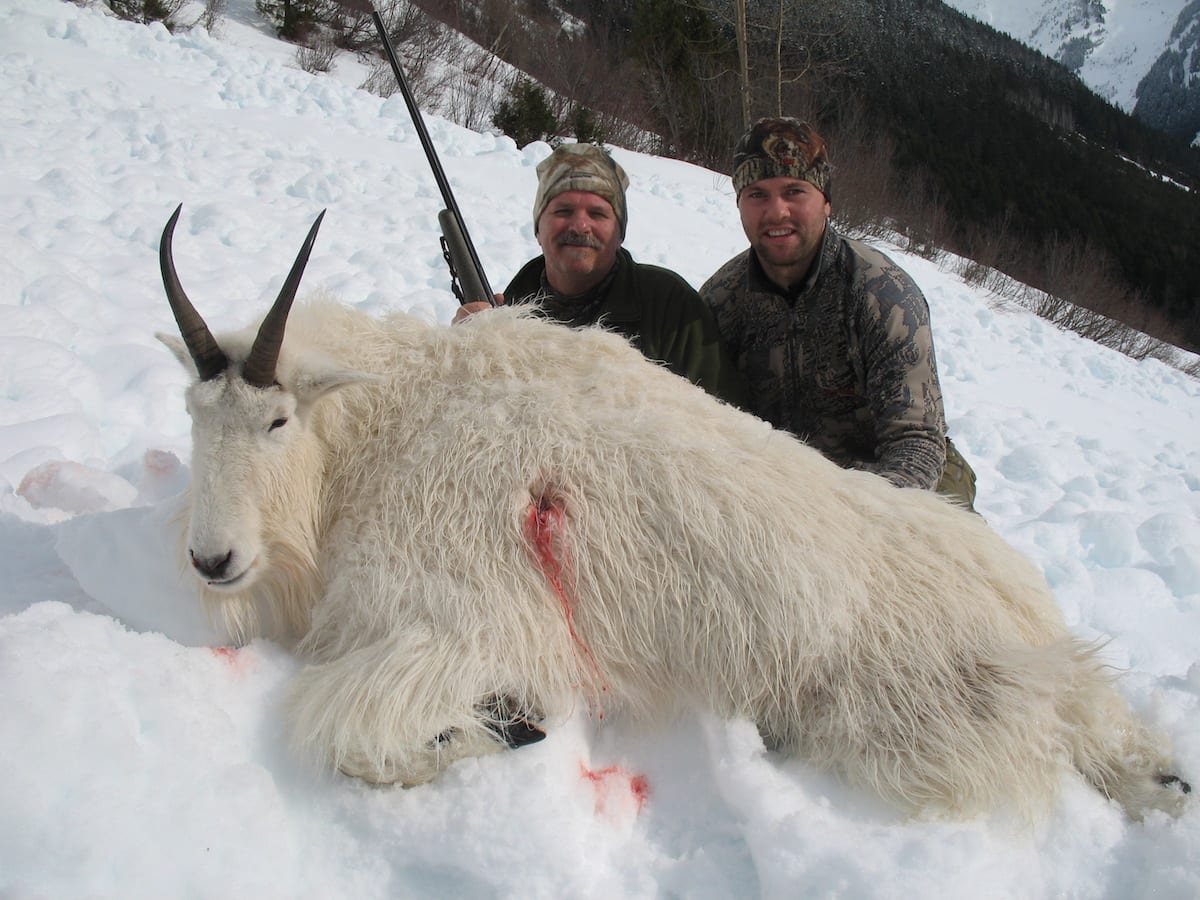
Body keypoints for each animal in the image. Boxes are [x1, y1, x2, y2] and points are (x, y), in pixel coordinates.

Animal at [154, 206, 1185, 825]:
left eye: (278, 419)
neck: (387, 427)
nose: (212, 560)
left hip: (906, 720)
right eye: (194, 414)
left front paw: (500, 726)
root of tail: (1022, 612)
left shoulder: (454, 627)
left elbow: (352, 741)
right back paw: (1162, 780)